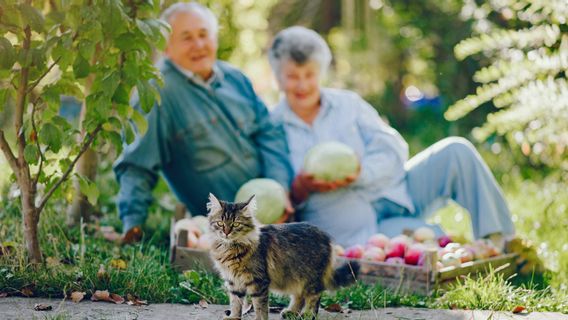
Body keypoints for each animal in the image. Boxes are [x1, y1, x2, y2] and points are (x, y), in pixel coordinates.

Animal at [207, 192, 360, 320]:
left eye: (236, 224)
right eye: (220, 223)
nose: (226, 232)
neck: (228, 249)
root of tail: (326, 237)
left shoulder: (258, 281)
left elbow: (259, 306)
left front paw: (259, 319)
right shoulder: (233, 281)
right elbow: (236, 302)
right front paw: (233, 317)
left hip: (311, 278)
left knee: (313, 297)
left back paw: (307, 314)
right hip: (296, 276)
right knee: (299, 296)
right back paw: (291, 312)